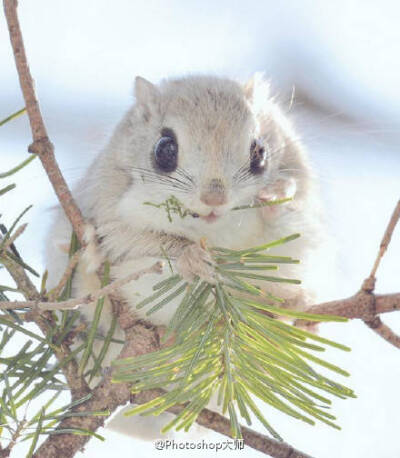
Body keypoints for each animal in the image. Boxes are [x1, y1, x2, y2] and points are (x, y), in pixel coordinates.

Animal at [44, 74, 332, 440]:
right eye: (164, 149)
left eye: (260, 153)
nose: (214, 198)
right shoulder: (108, 211)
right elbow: (143, 241)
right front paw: (193, 259)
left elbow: (286, 209)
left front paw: (276, 194)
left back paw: (298, 308)